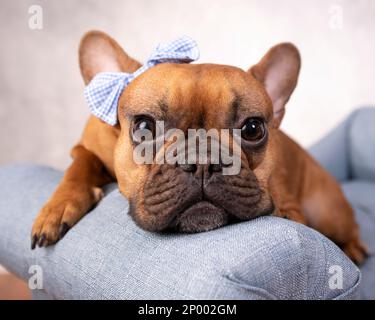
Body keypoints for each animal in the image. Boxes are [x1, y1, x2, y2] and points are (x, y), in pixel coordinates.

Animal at [30, 31, 368, 264]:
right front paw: (58, 206)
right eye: (144, 127)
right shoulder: (86, 146)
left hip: (329, 211)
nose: (204, 162)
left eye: (253, 128)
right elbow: (80, 163)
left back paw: (353, 251)